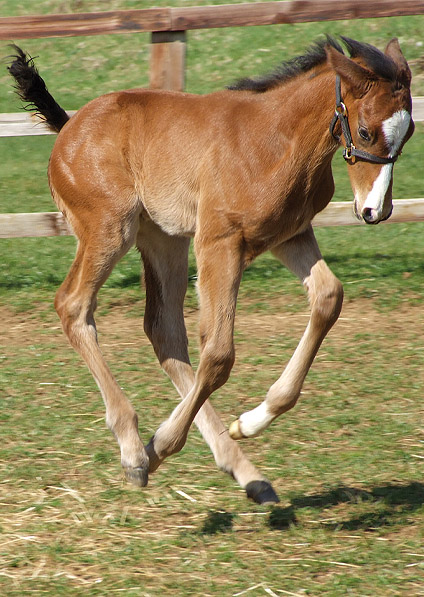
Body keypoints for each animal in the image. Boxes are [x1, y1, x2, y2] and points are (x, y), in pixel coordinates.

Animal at [8, 36, 414, 502]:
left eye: (408, 133)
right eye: (365, 131)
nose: (375, 210)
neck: (277, 141)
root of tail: (70, 126)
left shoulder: (289, 235)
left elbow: (329, 297)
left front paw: (250, 422)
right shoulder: (220, 242)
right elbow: (219, 353)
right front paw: (160, 445)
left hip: (164, 238)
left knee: (164, 331)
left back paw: (245, 473)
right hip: (109, 229)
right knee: (74, 305)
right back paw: (135, 450)